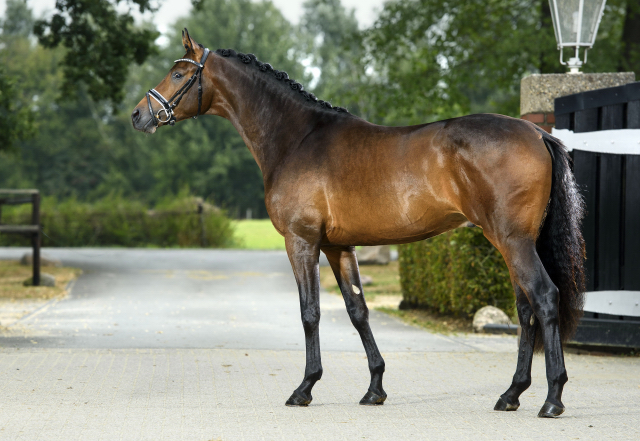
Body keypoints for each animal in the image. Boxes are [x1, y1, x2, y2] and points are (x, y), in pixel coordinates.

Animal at [131, 30, 584, 416]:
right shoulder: (338, 246)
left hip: (512, 239)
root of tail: (537, 134)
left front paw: (305, 388)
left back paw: (552, 399)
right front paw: (375, 389)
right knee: (525, 307)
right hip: (510, 241)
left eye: (178, 73)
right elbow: (357, 310)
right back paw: (511, 394)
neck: (296, 138)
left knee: (544, 297)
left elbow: (310, 312)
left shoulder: (301, 241)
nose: (138, 115)